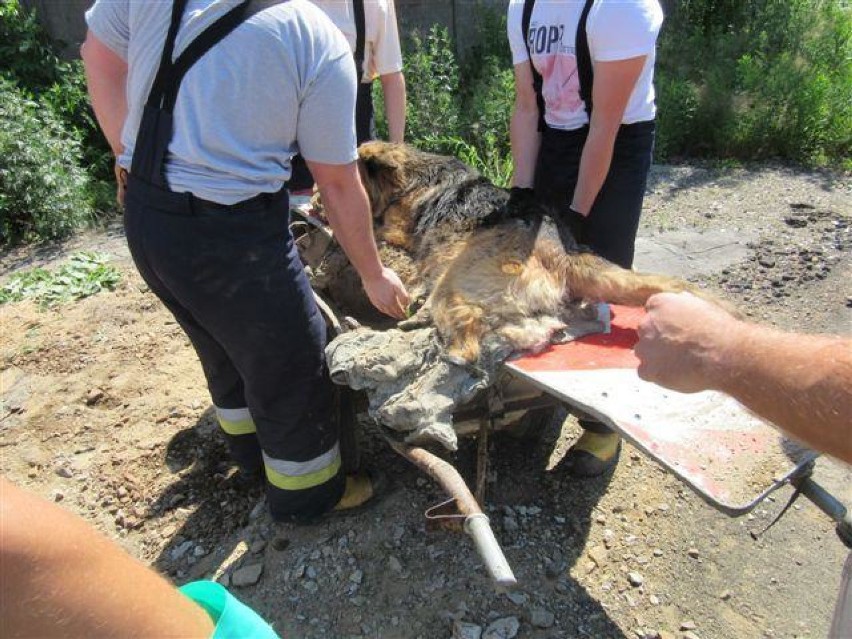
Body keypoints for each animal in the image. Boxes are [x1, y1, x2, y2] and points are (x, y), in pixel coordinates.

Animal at [340, 142, 724, 368]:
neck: (414, 175)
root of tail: (565, 252)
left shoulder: (393, 227)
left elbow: (375, 228)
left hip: (453, 286)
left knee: (468, 344)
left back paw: (435, 346)